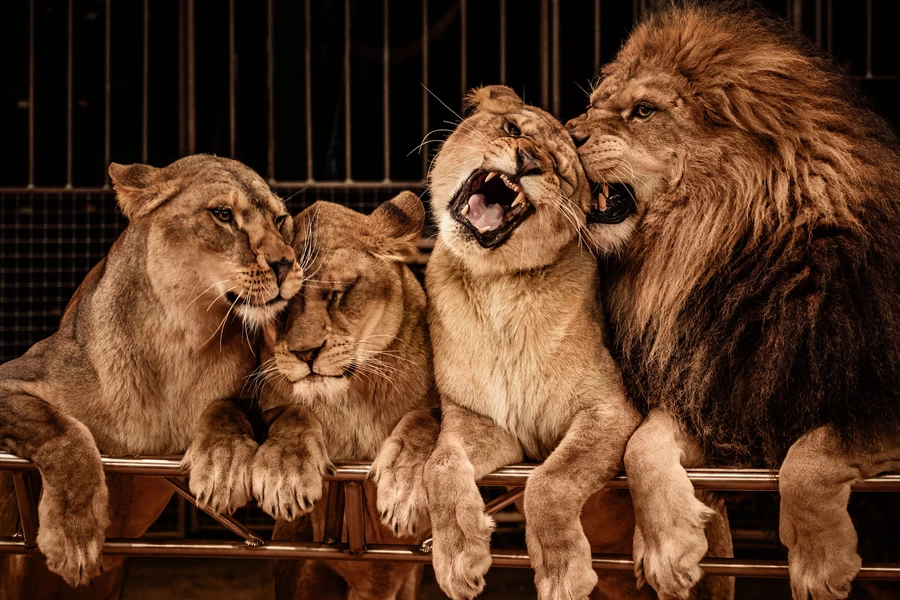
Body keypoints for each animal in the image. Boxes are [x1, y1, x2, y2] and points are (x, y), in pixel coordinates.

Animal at [0, 154, 302, 596]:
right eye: (223, 215)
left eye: (281, 220)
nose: (285, 265)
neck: (181, 337)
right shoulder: (14, 378)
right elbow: (61, 429)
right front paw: (74, 535)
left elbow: (227, 407)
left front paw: (224, 462)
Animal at [186, 192, 439, 600]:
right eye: (280, 307)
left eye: (337, 293)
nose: (305, 353)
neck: (349, 400)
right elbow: (254, 409)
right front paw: (253, 470)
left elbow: (427, 419)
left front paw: (405, 486)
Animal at [423, 84, 650, 600]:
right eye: (512, 129)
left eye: (561, 173)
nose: (527, 161)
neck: (498, 285)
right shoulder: (480, 419)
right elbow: (440, 466)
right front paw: (459, 557)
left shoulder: (610, 410)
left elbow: (551, 481)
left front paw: (563, 572)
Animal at [566, 5, 900, 599]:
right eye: (594, 103)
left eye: (644, 111)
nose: (566, 131)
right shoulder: (721, 393)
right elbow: (642, 445)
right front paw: (668, 547)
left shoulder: (872, 399)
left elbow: (811, 455)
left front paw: (820, 565)